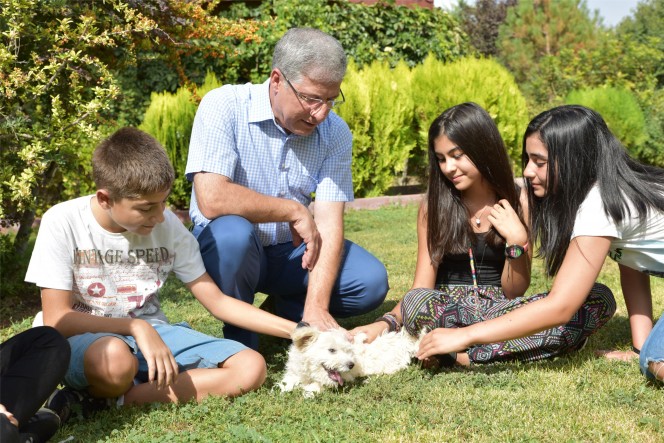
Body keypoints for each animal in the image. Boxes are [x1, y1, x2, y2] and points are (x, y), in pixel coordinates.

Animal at [280, 326, 420, 396]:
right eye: (331, 350)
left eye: (348, 351)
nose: (351, 365)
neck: (310, 373)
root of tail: (404, 342)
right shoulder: (295, 370)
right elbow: (290, 379)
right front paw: (286, 386)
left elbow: (319, 385)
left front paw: (309, 390)